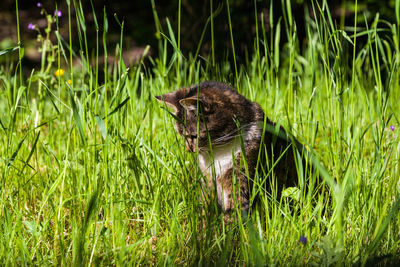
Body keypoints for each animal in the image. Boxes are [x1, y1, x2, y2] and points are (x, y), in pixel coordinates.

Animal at [155, 81, 306, 220]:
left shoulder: (240, 178)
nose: (188, 149)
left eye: (193, 136)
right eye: (181, 135)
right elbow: (205, 210)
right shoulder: (207, 182)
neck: (219, 151)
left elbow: (233, 213)